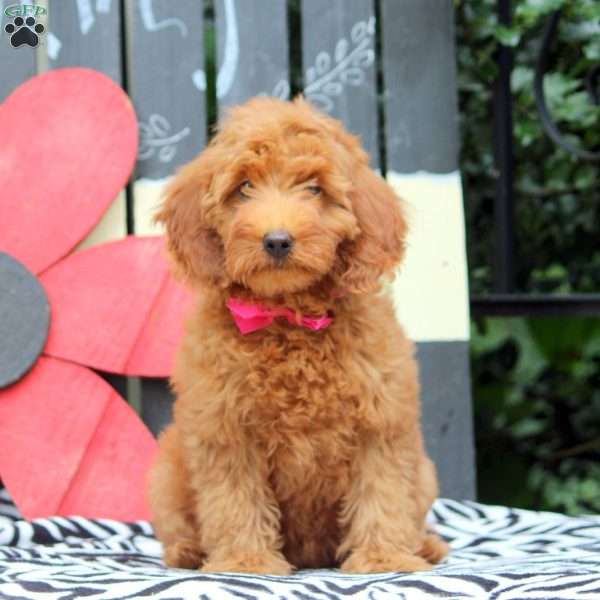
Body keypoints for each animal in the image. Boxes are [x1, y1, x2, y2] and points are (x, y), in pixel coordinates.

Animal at [149, 96, 450, 576]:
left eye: (314, 188)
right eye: (244, 187)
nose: (277, 240)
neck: (288, 318)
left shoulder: (380, 420)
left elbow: (381, 490)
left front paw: (383, 557)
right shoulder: (224, 426)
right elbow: (235, 497)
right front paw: (246, 561)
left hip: (424, 472)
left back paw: (425, 546)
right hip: (168, 470)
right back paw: (188, 552)